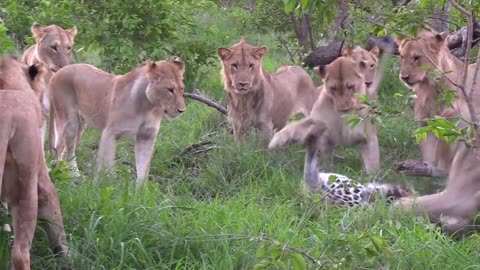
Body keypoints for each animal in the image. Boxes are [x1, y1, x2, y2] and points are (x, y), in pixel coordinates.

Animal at [48, 58, 187, 187]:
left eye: (182, 89)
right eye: (170, 89)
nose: (182, 110)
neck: (148, 107)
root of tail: (60, 71)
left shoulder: (147, 137)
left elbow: (143, 168)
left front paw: (140, 192)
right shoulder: (110, 133)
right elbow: (107, 165)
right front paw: (105, 186)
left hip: (81, 125)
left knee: (66, 148)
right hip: (69, 122)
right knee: (63, 148)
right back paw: (70, 175)